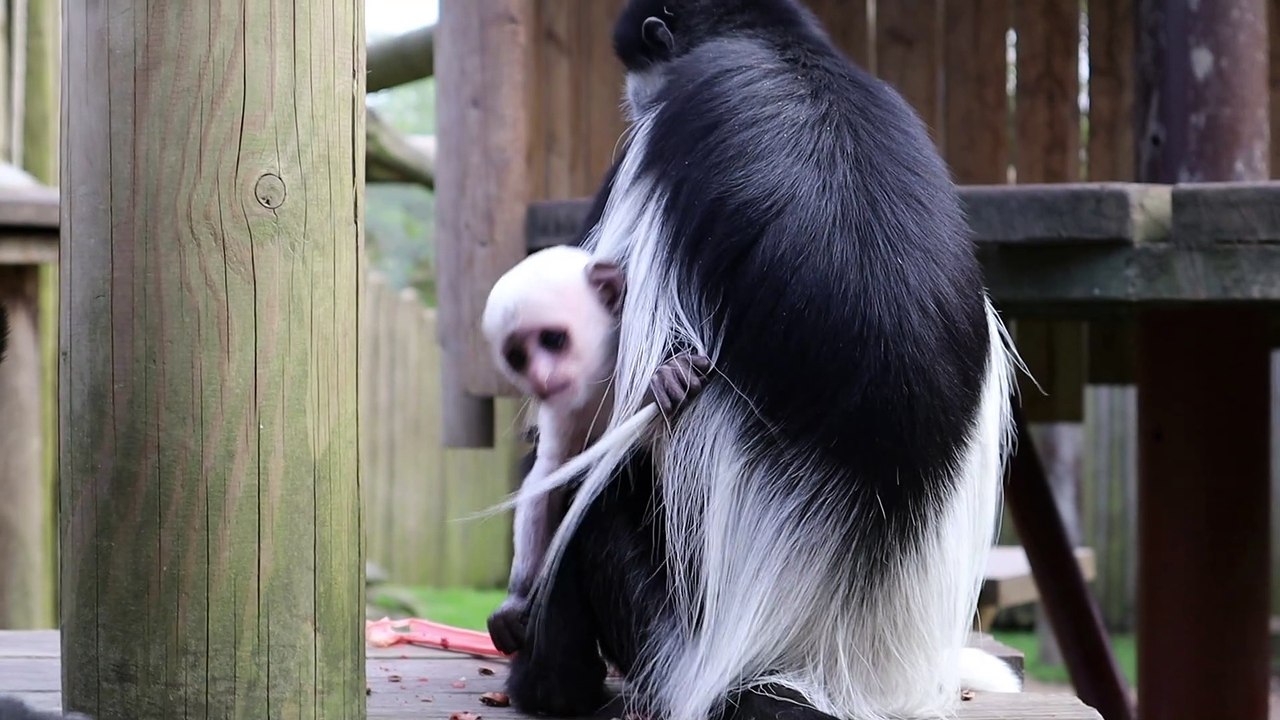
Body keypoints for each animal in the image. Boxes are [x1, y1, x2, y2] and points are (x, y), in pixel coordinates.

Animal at [478, 245, 711, 656]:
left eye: (553, 340)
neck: (607, 377)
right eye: (518, 356)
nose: (541, 379)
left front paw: (669, 377)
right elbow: (550, 476)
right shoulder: (564, 408)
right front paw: (516, 603)